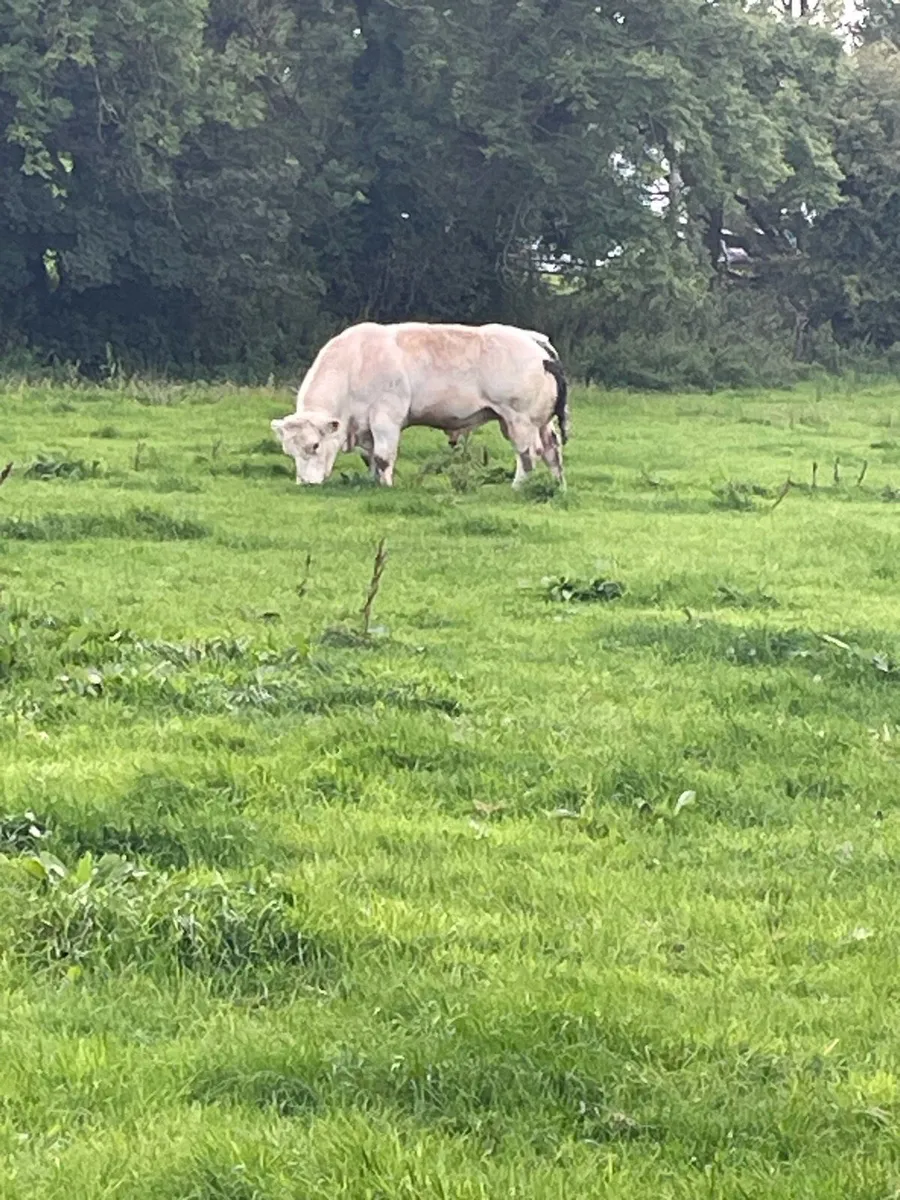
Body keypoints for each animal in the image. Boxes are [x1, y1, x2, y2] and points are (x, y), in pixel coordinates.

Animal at [270, 321, 569, 489]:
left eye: (315, 445)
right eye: (289, 451)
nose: (306, 484)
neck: (355, 363)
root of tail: (533, 339)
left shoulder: (386, 417)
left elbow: (383, 456)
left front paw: (386, 487)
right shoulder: (366, 426)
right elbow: (371, 457)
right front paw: (371, 482)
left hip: (520, 419)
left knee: (528, 454)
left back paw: (517, 487)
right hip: (538, 422)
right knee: (552, 450)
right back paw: (558, 485)